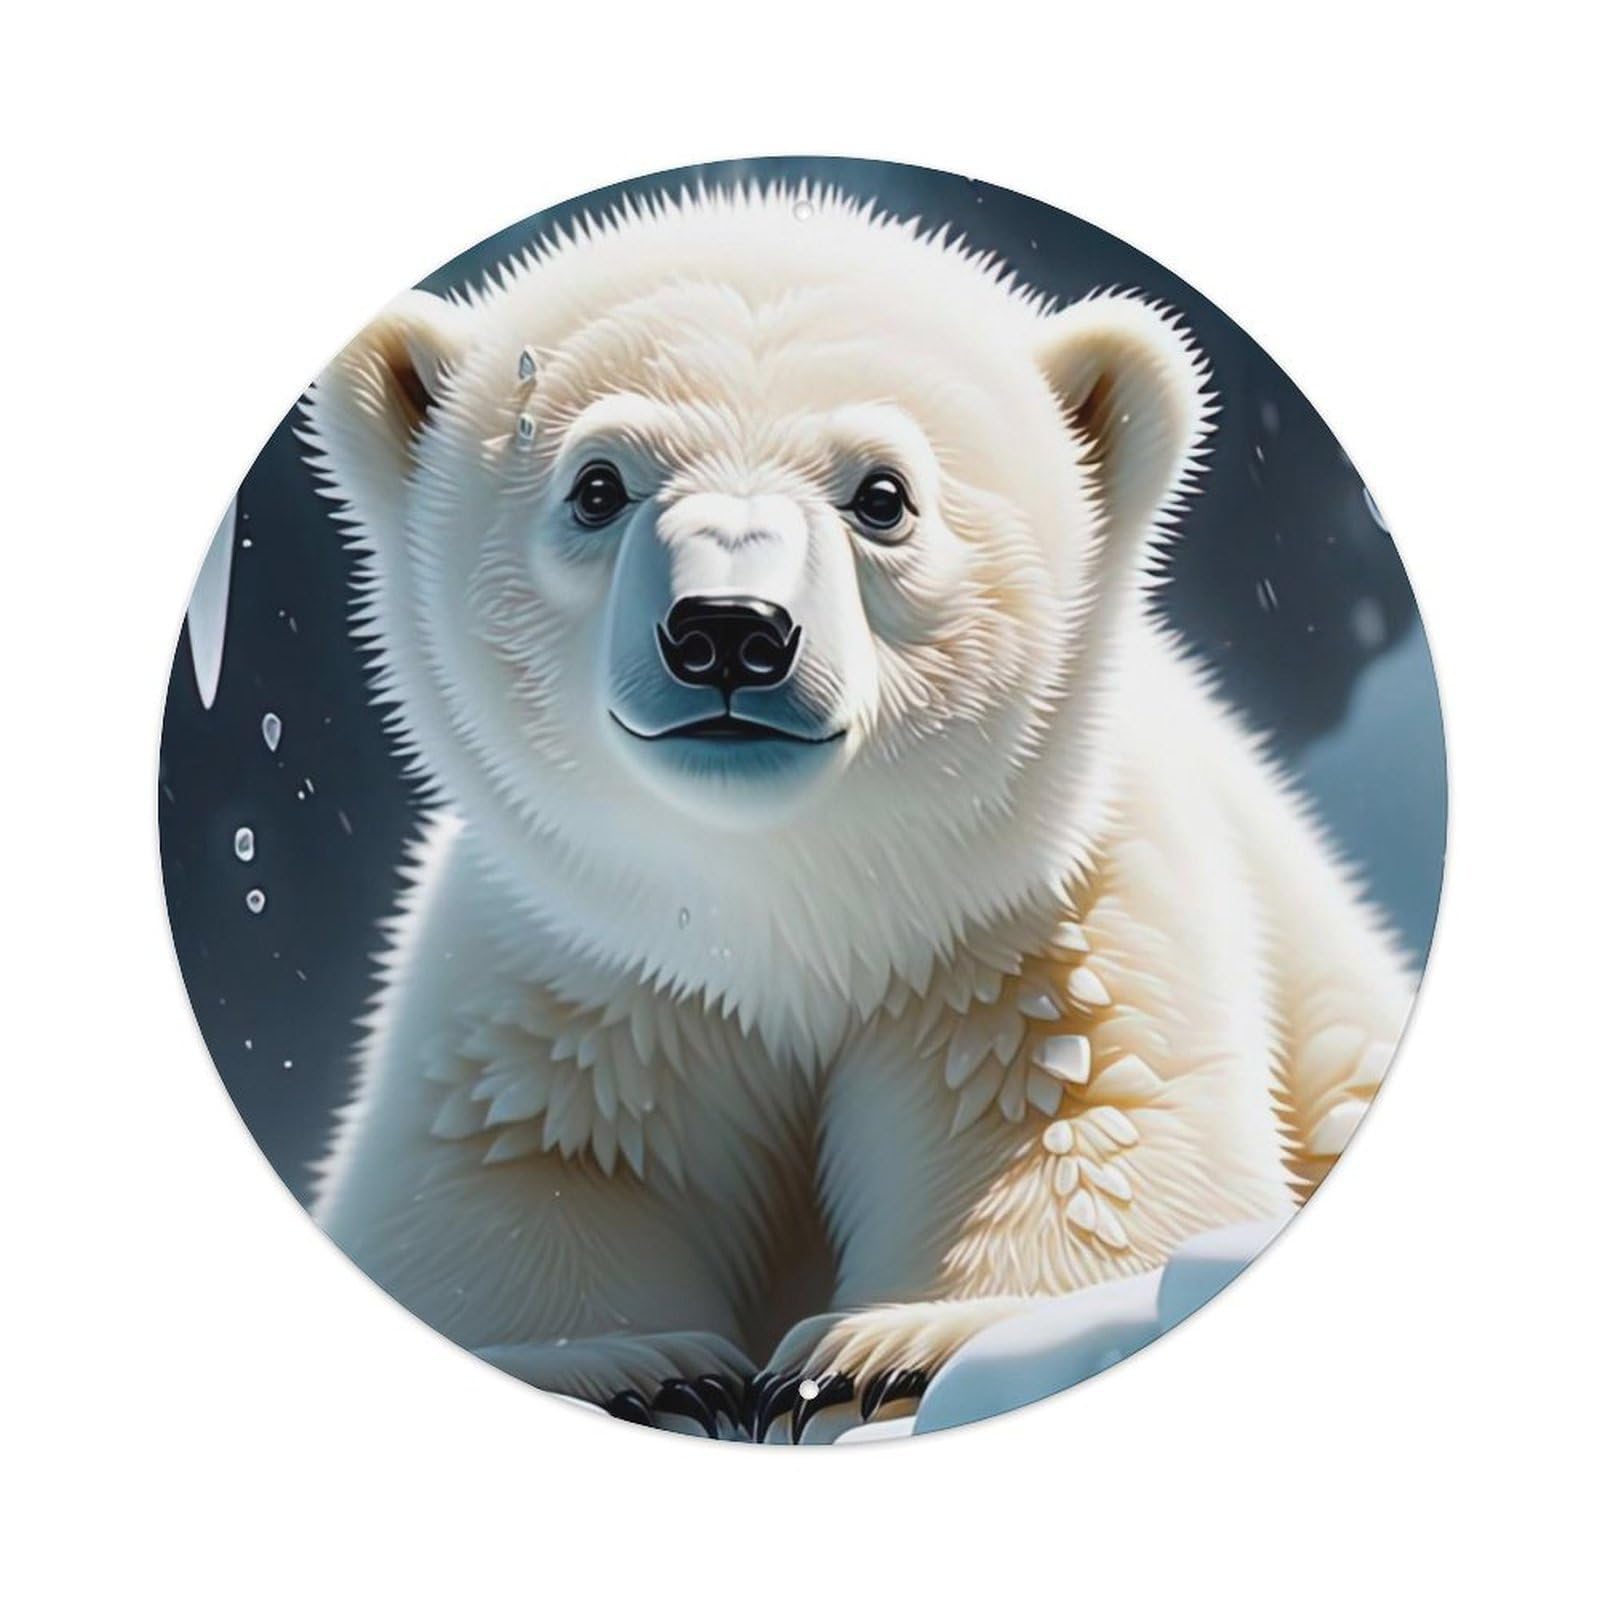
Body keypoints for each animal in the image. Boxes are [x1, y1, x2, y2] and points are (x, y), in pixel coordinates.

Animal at [304, 187, 1415, 1442]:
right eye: (595, 484)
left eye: (882, 494)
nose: (728, 629)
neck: (785, 914)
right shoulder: (567, 964)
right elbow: (515, 1152)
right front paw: (639, 1366)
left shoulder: (1038, 913)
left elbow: (1082, 1112)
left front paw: (886, 1353)